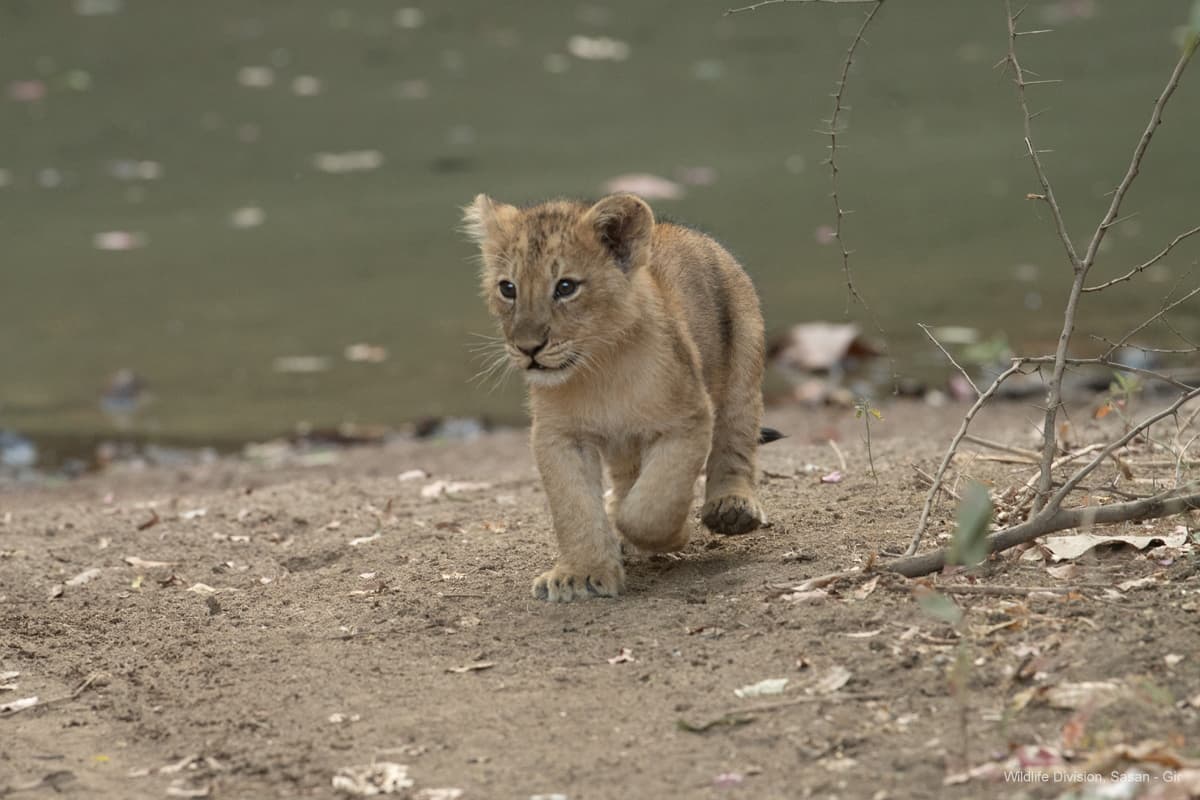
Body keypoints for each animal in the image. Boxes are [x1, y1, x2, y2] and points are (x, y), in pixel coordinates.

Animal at [464, 193, 779, 602]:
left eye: (565, 287)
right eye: (508, 288)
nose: (528, 348)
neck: (598, 370)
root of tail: (686, 231)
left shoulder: (688, 420)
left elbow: (652, 506)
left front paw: (670, 535)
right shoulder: (558, 436)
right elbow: (574, 508)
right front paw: (581, 574)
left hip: (743, 365)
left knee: (735, 440)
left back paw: (731, 506)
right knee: (628, 475)